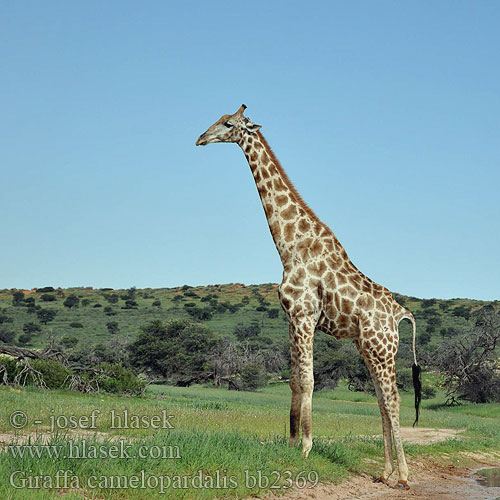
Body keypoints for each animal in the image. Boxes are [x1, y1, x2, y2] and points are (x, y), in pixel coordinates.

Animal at [195, 102, 422, 488]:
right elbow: (292, 382)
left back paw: (404, 475)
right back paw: (386, 471)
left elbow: (308, 379)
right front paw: (288, 443)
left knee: (393, 399)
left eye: (227, 124)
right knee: (381, 398)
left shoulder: (304, 316)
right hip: (368, 347)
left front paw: (305, 446)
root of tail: (400, 313)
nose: (200, 138)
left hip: (381, 348)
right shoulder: (290, 318)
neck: (289, 245)